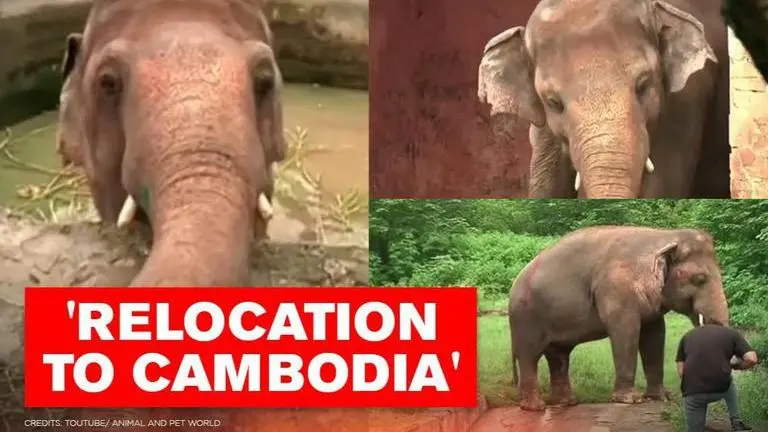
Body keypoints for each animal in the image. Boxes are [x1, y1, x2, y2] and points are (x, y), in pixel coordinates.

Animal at [508, 226, 729, 411]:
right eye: (699, 279)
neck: (663, 236)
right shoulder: (616, 289)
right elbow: (626, 330)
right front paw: (631, 400)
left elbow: (655, 335)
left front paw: (660, 397)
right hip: (526, 318)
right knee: (530, 356)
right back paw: (535, 407)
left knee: (559, 356)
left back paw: (565, 403)